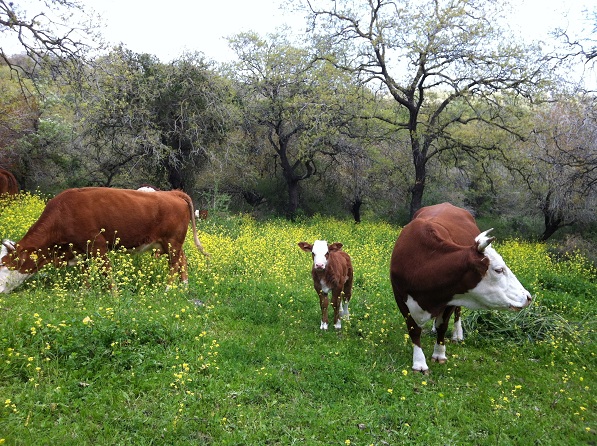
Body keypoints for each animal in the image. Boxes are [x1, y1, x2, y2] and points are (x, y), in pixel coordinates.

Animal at [0, 187, 210, 294]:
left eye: (5, 265)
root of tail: (173, 193)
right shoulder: (80, 250)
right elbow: (84, 272)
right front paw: (85, 293)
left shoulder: (98, 246)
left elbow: (106, 273)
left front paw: (113, 296)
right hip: (168, 244)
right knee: (182, 259)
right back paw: (184, 287)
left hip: (171, 242)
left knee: (174, 263)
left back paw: (167, 289)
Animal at [388, 203, 532, 372]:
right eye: (498, 269)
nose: (528, 297)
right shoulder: (400, 296)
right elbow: (413, 329)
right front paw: (419, 362)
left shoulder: (452, 296)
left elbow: (443, 326)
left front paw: (439, 354)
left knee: (458, 312)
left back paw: (457, 334)